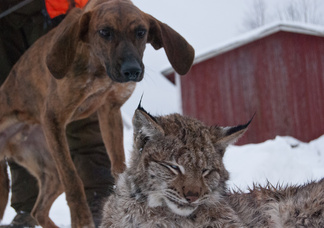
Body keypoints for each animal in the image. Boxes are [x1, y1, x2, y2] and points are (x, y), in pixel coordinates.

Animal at [0, 0, 194, 226]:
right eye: (104, 32)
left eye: (141, 32)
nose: (132, 70)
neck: (99, 68)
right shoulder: (53, 118)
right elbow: (73, 180)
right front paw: (82, 220)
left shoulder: (110, 111)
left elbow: (118, 165)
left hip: (50, 170)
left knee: (38, 210)